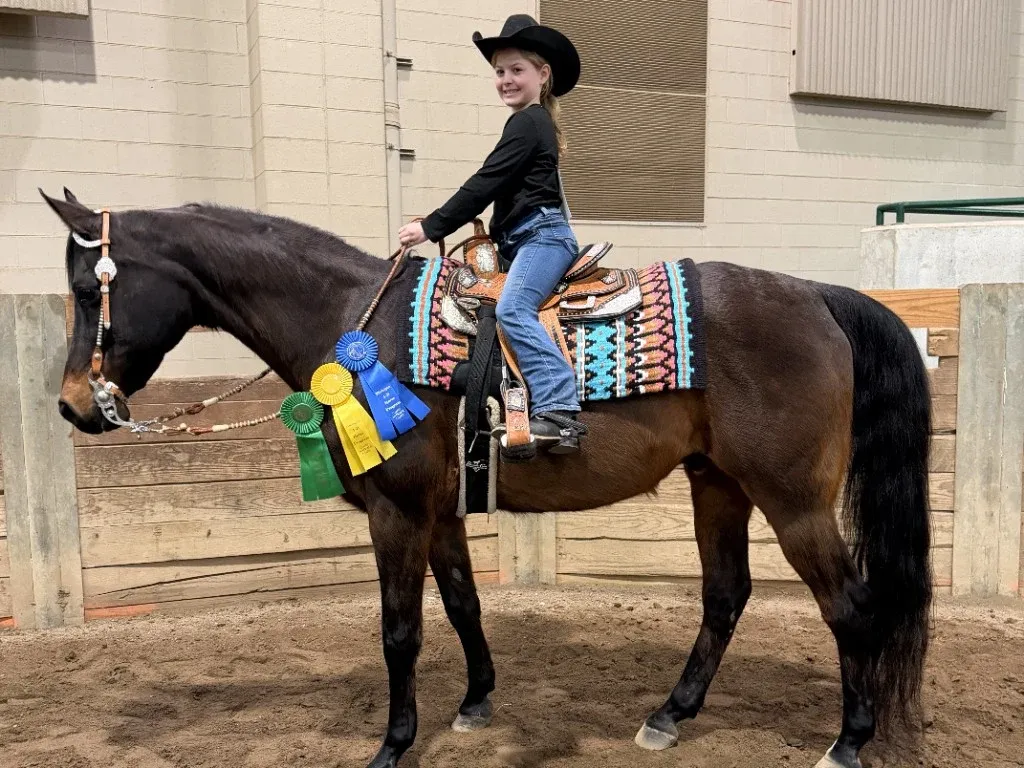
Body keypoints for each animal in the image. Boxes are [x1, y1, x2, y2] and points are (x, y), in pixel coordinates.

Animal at [41, 188, 932, 768]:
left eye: (89, 288)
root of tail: (817, 295)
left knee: (851, 606)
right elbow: (464, 604)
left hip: (794, 501)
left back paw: (847, 742)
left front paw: (393, 745)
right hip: (718, 483)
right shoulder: (440, 511)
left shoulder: (396, 512)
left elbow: (400, 631)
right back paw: (670, 715)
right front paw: (475, 704)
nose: (75, 405)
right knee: (726, 597)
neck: (355, 324)